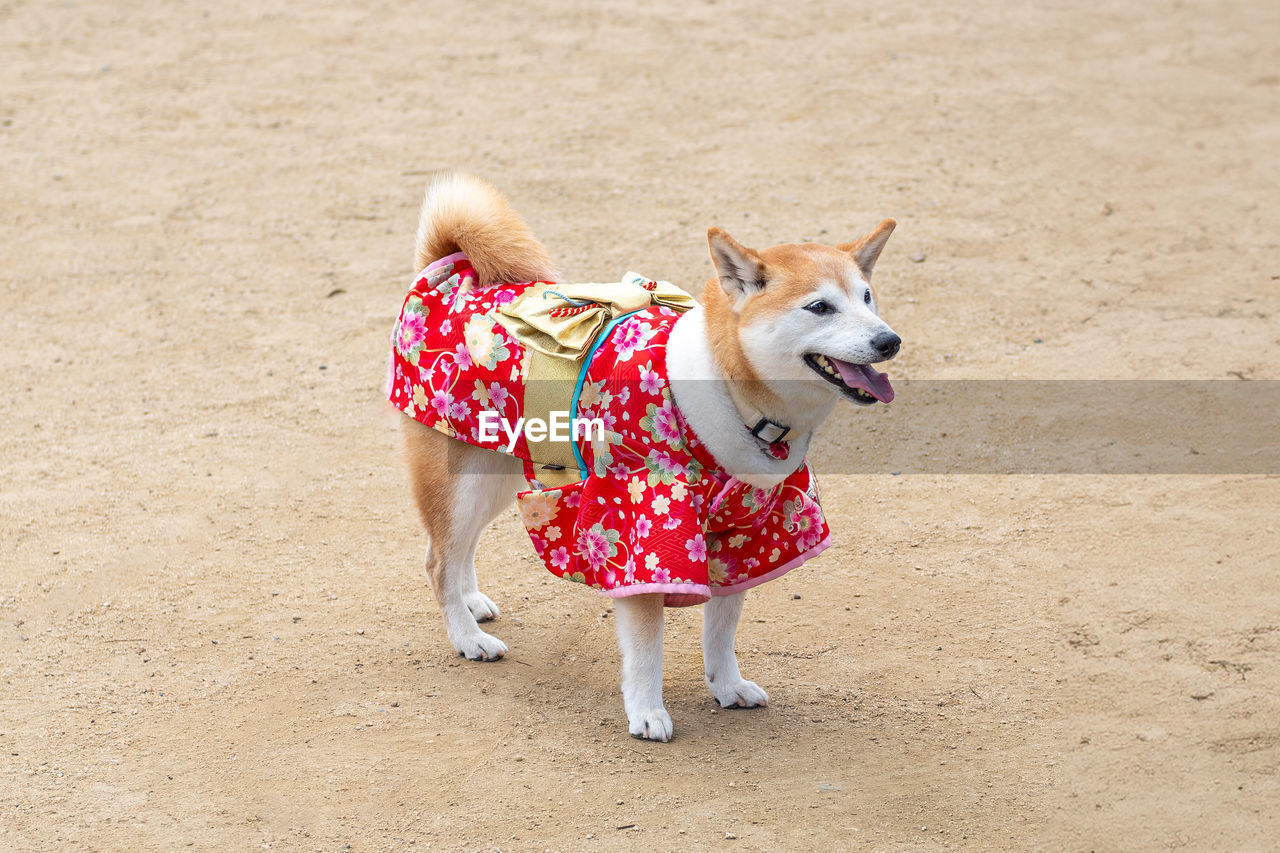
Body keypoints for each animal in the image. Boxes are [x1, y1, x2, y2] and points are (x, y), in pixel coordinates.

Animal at [389, 172, 901, 737]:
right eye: (820, 307)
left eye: (868, 298)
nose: (889, 341)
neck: (734, 392)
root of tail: (448, 266)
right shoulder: (643, 526)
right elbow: (646, 649)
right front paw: (648, 712)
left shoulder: (748, 533)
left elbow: (720, 631)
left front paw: (727, 686)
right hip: (465, 480)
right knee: (439, 559)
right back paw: (466, 636)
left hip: (496, 471)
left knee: (458, 547)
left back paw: (471, 601)